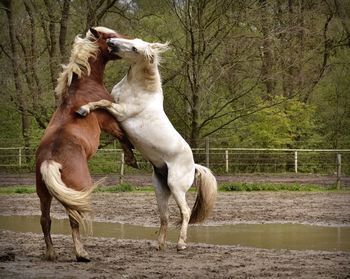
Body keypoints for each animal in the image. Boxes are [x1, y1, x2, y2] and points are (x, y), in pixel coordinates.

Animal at [34, 26, 135, 262]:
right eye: (110, 37)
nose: (127, 41)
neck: (84, 86)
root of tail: (50, 161)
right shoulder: (109, 122)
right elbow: (122, 135)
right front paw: (132, 158)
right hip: (76, 189)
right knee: (74, 219)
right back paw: (81, 253)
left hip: (43, 193)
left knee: (45, 220)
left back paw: (51, 253)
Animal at [76, 37, 216, 252]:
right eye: (132, 40)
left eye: (134, 48)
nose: (111, 42)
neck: (139, 90)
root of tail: (193, 166)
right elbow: (103, 103)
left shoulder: (121, 111)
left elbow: (102, 103)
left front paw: (82, 109)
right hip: (160, 189)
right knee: (165, 216)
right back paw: (159, 244)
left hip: (176, 187)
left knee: (185, 212)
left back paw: (181, 244)